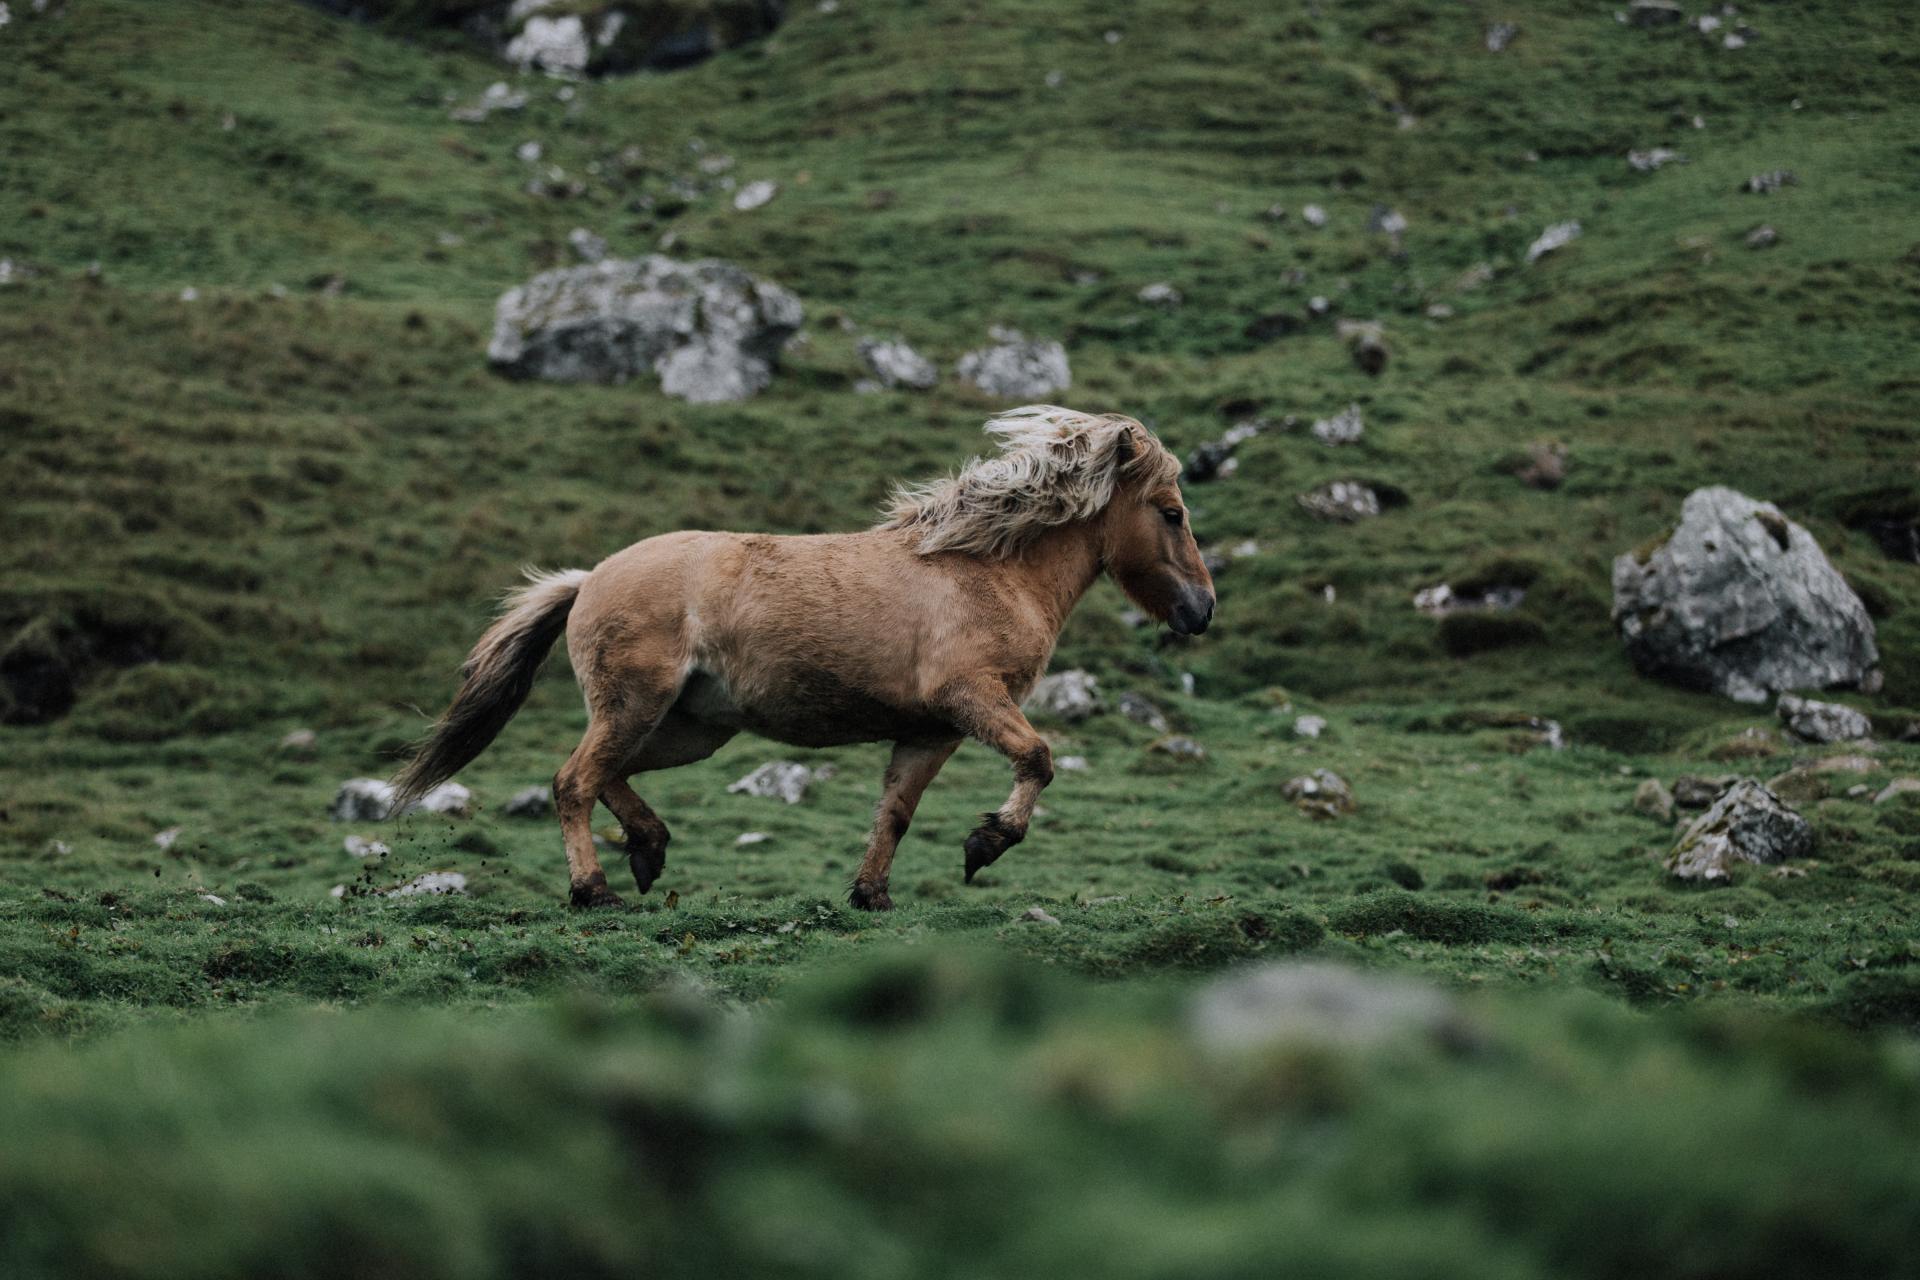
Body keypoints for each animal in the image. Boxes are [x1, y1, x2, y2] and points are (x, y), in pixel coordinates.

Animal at [389, 408, 1213, 909]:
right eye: (1172, 513)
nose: (1201, 610)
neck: (984, 568)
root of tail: (588, 578)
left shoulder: (930, 730)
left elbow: (895, 813)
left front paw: (871, 896)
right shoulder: (970, 697)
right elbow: (1038, 758)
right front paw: (986, 844)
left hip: (690, 729)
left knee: (606, 777)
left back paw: (650, 851)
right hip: (636, 706)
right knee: (573, 782)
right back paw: (597, 889)